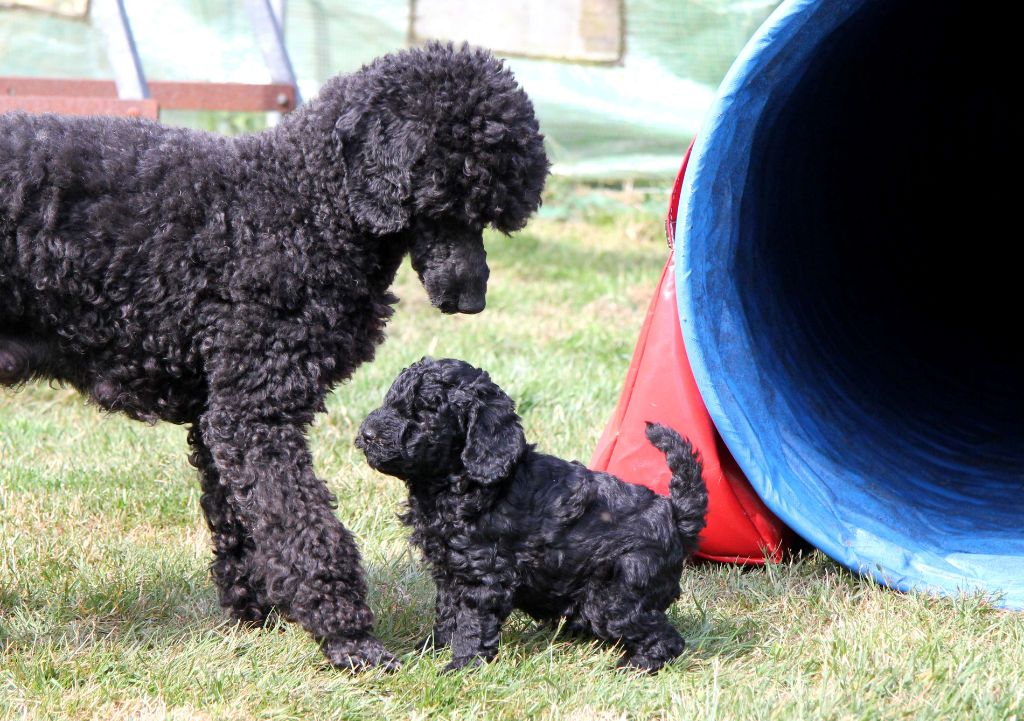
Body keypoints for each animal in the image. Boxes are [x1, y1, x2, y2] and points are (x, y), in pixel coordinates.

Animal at [0, 42, 552, 667]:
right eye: (447, 199)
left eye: (490, 216)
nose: (472, 301)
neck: (305, 204)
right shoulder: (256, 413)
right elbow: (303, 526)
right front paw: (350, 639)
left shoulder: (219, 418)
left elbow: (244, 527)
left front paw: (254, 618)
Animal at [356, 358, 708, 671]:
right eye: (392, 403)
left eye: (424, 413)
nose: (366, 434)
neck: (457, 485)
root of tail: (674, 514)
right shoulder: (450, 571)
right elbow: (447, 613)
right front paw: (430, 649)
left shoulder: (483, 575)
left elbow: (471, 623)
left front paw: (461, 667)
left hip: (618, 593)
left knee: (664, 638)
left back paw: (634, 666)